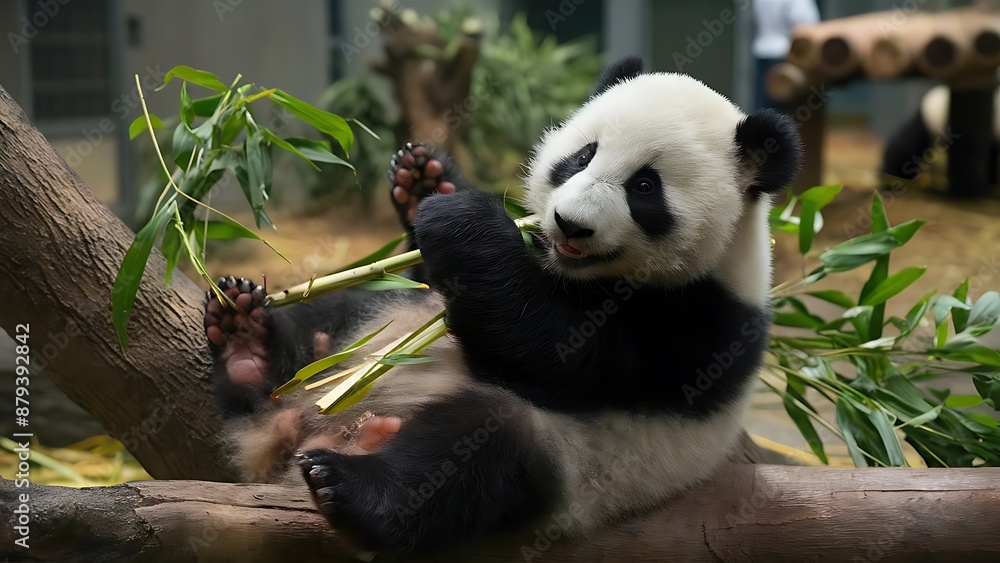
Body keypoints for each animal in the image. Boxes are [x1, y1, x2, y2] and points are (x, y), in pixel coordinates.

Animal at [204, 56, 802, 553]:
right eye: (581, 157)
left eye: (645, 187)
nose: (569, 224)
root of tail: (302, 432)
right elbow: (436, 282)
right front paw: (426, 181)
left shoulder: (701, 326)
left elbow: (559, 351)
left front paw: (462, 221)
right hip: (363, 326)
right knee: (328, 323)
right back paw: (247, 342)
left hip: (574, 467)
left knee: (478, 447)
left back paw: (351, 486)